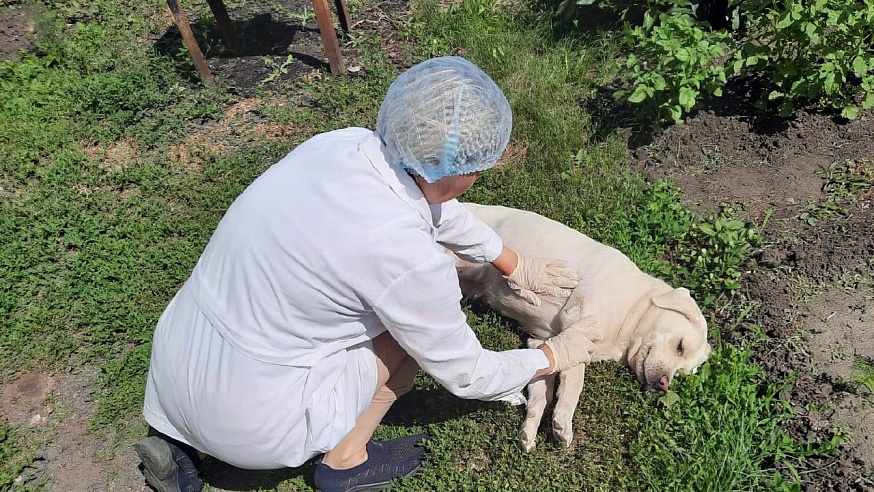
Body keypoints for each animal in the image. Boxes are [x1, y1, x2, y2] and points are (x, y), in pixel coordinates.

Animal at [454, 202, 712, 452]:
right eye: (680, 346)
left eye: (682, 372)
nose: (663, 385)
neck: (633, 309)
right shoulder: (577, 323)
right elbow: (575, 382)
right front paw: (562, 421)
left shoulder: (542, 341)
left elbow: (542, 391)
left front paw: (529, 430)